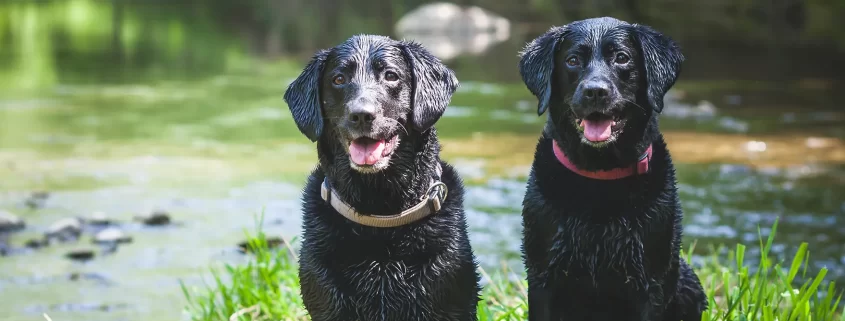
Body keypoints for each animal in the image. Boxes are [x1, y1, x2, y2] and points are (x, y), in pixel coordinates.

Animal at [516, 18, 708, 320]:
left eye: (621, 58)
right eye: (572, 60)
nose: (595, 91)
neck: (600, 176)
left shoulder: (652, 282)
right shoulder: (542, 276)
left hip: (688, 283)